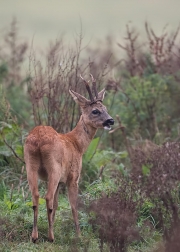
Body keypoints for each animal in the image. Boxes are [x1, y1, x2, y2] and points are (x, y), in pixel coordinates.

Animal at [23, 75, 114, 242]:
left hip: (30, 165)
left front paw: (52, 225)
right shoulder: (73, 177)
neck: (77, 144)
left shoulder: (61, 181)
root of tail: (38, 141)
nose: (111, 121)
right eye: (95, 111)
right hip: (54, 167)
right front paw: (79, 235)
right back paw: (51, 237)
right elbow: (73, 205)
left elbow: (57, 204)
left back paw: (35, 236)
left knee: (36, 196)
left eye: (105, 108)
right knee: (47, 196)